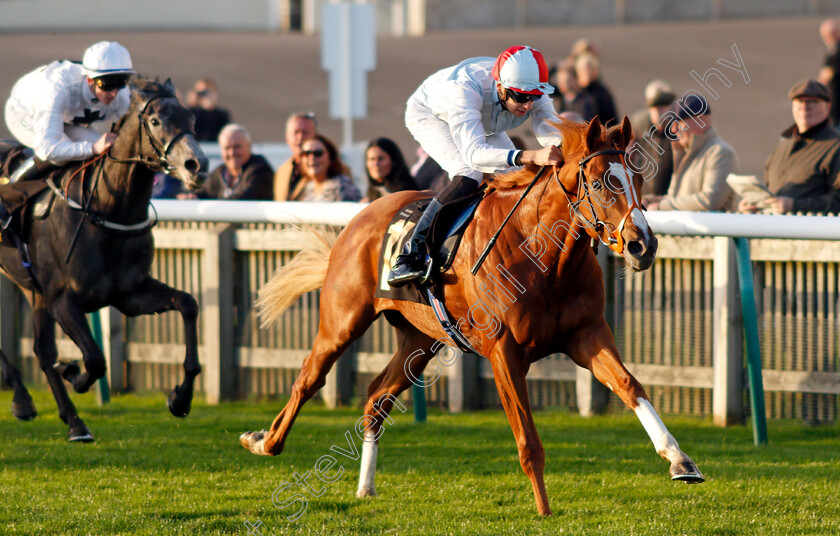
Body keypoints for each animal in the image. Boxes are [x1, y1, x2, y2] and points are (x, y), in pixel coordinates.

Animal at [243, 116, 704, 516]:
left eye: (638, 179)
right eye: (597, 182)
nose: (642, 245)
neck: (542, 257)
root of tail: (360, 217)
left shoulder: (587, 334)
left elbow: (630, 385)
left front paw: (680, 460)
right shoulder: (505, 352)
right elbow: (528, 440)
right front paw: (544, 510)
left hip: (420, 340)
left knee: (377, 397)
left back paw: (365, 487)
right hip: (343, 320)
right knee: (309, 377)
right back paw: (263, 441)